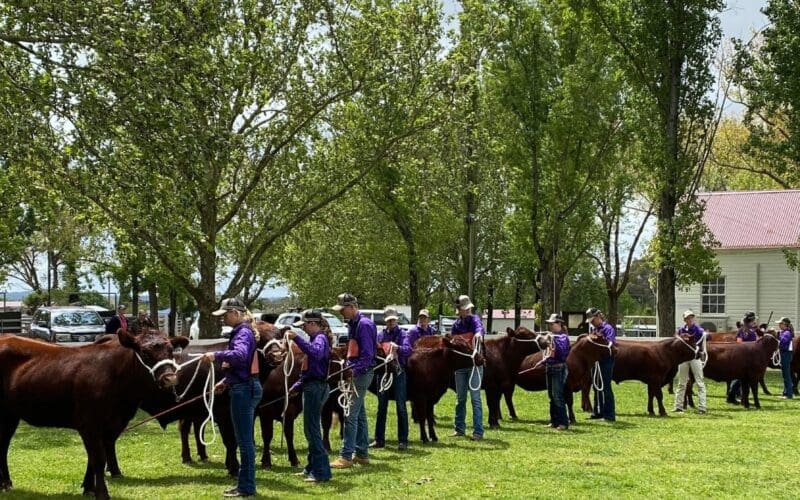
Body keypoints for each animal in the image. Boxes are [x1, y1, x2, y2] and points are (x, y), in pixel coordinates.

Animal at [0, 329, 183, 499]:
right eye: (145, 353)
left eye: (171, 351)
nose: (170, 378)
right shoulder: (90, 424)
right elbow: (98, 459)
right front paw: (102, 493)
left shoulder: (110, 426)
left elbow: (93, 459)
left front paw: (89, 488)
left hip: (10, 415)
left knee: (4, 445)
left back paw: (6, 483)